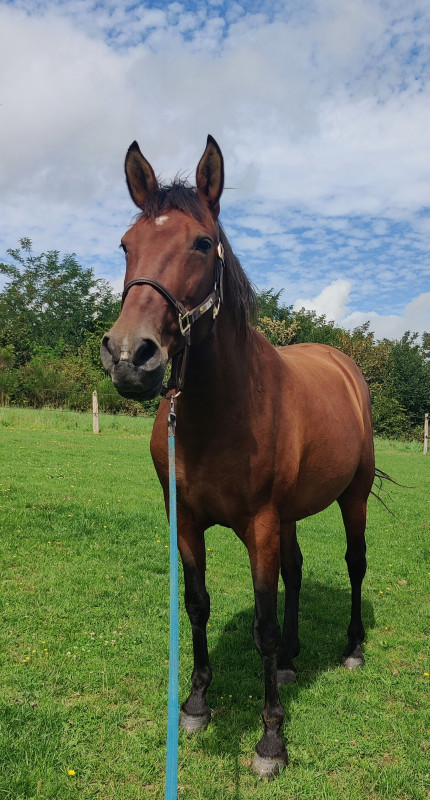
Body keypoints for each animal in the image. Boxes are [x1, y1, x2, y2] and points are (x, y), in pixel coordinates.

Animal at [100, 135, 375, 777]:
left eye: (203, 243)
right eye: (126, 244)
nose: (128, 356)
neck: (217, 413)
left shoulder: (263, 525)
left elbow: (263, 625)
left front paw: (271, 738)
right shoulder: (186, 521)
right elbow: (197, 605)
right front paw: (196, 703)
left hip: (352, 496)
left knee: (354, 563)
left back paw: (351, 648)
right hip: (295, 515)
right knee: (296, 572)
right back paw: (295, 662)